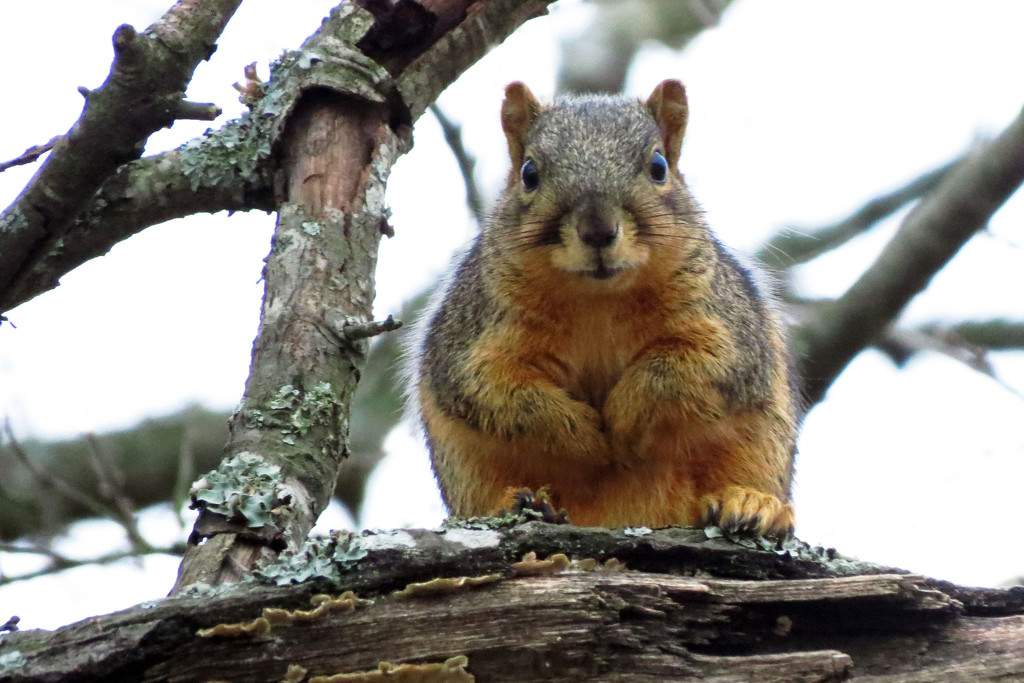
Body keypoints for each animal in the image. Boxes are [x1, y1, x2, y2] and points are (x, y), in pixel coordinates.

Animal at [407, 80, 798, 540]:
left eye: (659, 167)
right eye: (529, 174)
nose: (597, 229)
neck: (599, 299)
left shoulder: (726, 326)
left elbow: (685, 372)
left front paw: (624, 419)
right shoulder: (474, 335)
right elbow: (497, 392)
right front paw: (583, 436)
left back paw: (754, 504)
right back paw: (520, 503)